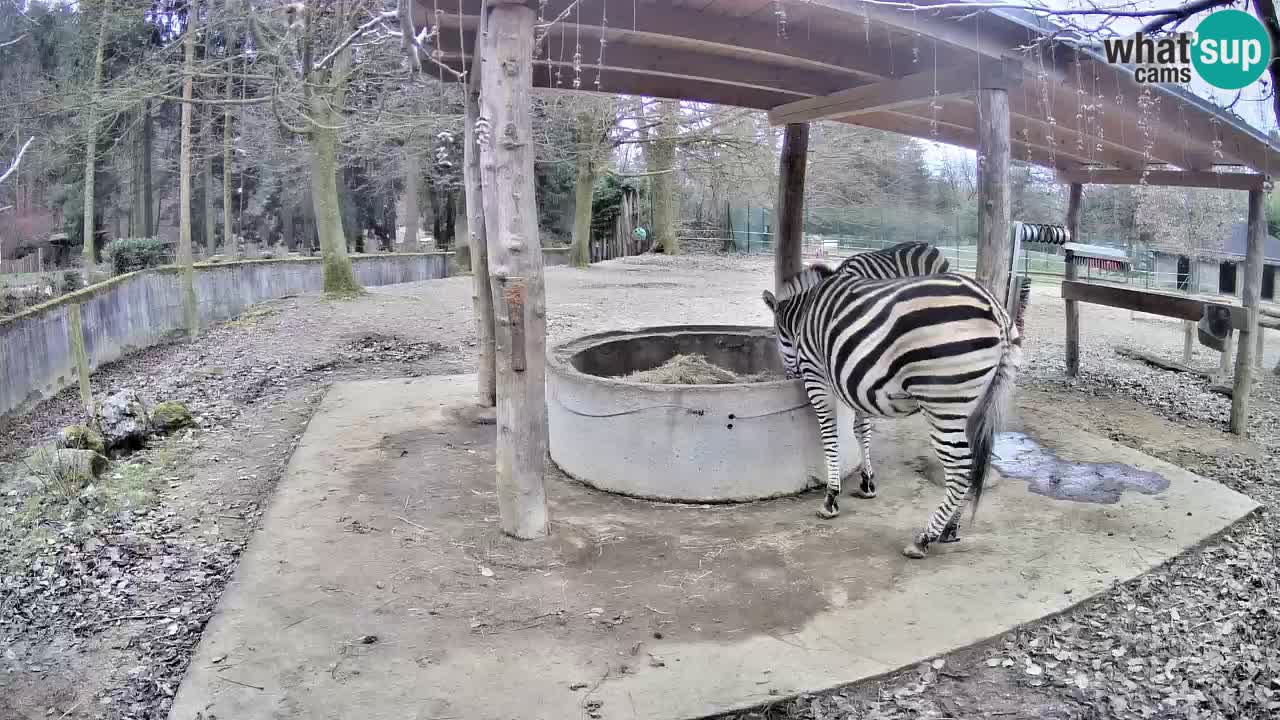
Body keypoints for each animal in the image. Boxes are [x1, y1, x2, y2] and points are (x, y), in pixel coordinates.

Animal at [757, 266, 1018, 558]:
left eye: (777, 335)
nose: (790, 376)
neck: (805, 313)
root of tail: (995, 308)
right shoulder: (854, 382)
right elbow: (862, 431)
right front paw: (867, 483)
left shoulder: (818, 374)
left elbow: (830, 434)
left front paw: (831, 498)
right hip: (976, 404)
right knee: (974, 466)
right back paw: (950, 528)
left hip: (943, 403)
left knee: (961, 468)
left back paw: (924, 538)